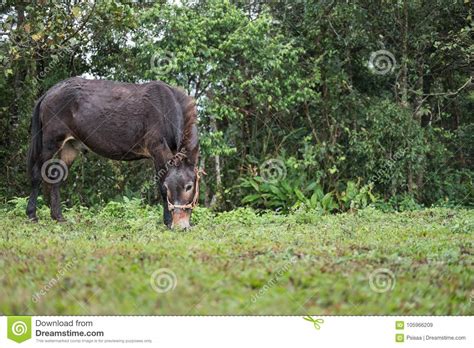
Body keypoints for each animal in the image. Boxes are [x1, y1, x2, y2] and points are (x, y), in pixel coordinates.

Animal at [26, 77, 200, 228]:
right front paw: (167, 222)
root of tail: (50, 91)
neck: (168, 109)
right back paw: (32, 215)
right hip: (51, 143)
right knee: (36, 173)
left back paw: (58, 217)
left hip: (70, 146)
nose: (181, 226)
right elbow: (161, 188)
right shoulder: (158, 150)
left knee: (57, 177)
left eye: (189, 186)